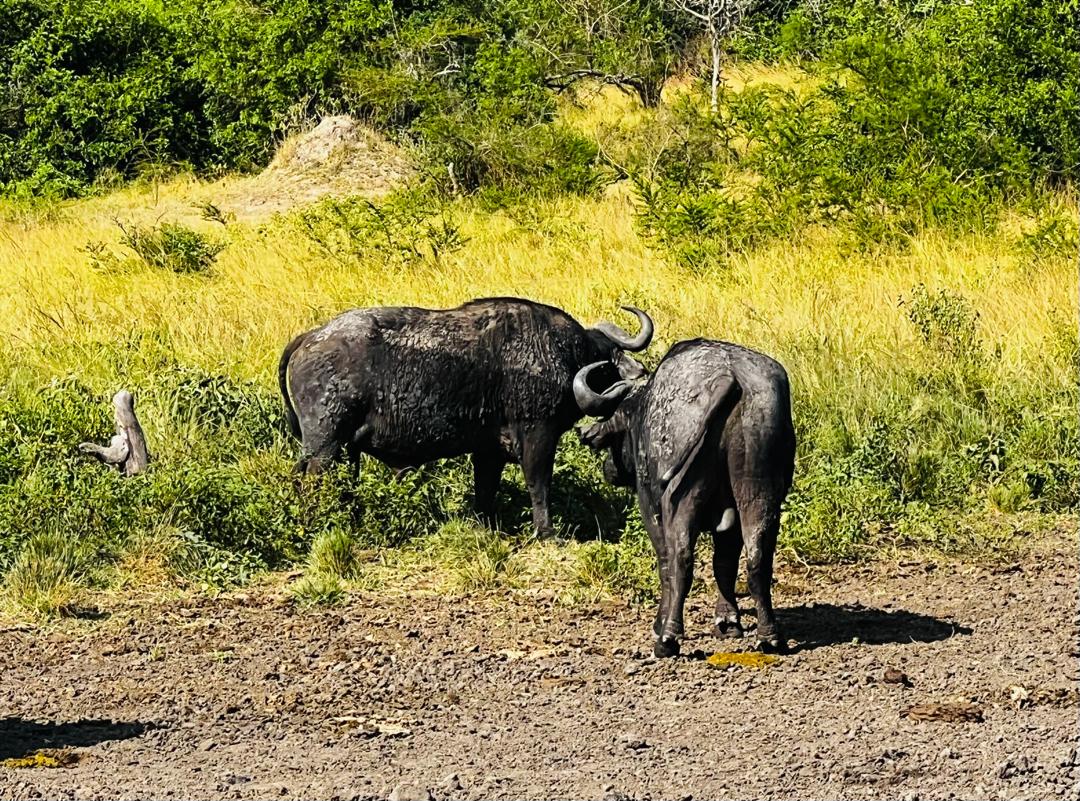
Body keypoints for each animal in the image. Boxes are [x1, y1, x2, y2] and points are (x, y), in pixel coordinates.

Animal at [279, 297, 654, 537]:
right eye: (605, 366)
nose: (640, 374)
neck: (556, 354)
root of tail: (312, 337)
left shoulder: (488, 450)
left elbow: (485, 490)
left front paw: (484, 527)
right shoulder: (538, 436)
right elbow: (539, 484)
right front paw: (546, 532)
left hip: (346, 451)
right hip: (324, 449)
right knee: (312, 484)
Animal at [574, 339, 796, 656]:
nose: (610, 470)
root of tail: (729, 377)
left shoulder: (650, 508)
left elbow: (666, 563)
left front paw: (659, 622)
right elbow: (724, 562)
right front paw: (728, 622)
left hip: (681, 496)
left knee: (681, 559)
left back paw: (667, 638)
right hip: (759, 490)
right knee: (758, 558)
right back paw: (770, 636)